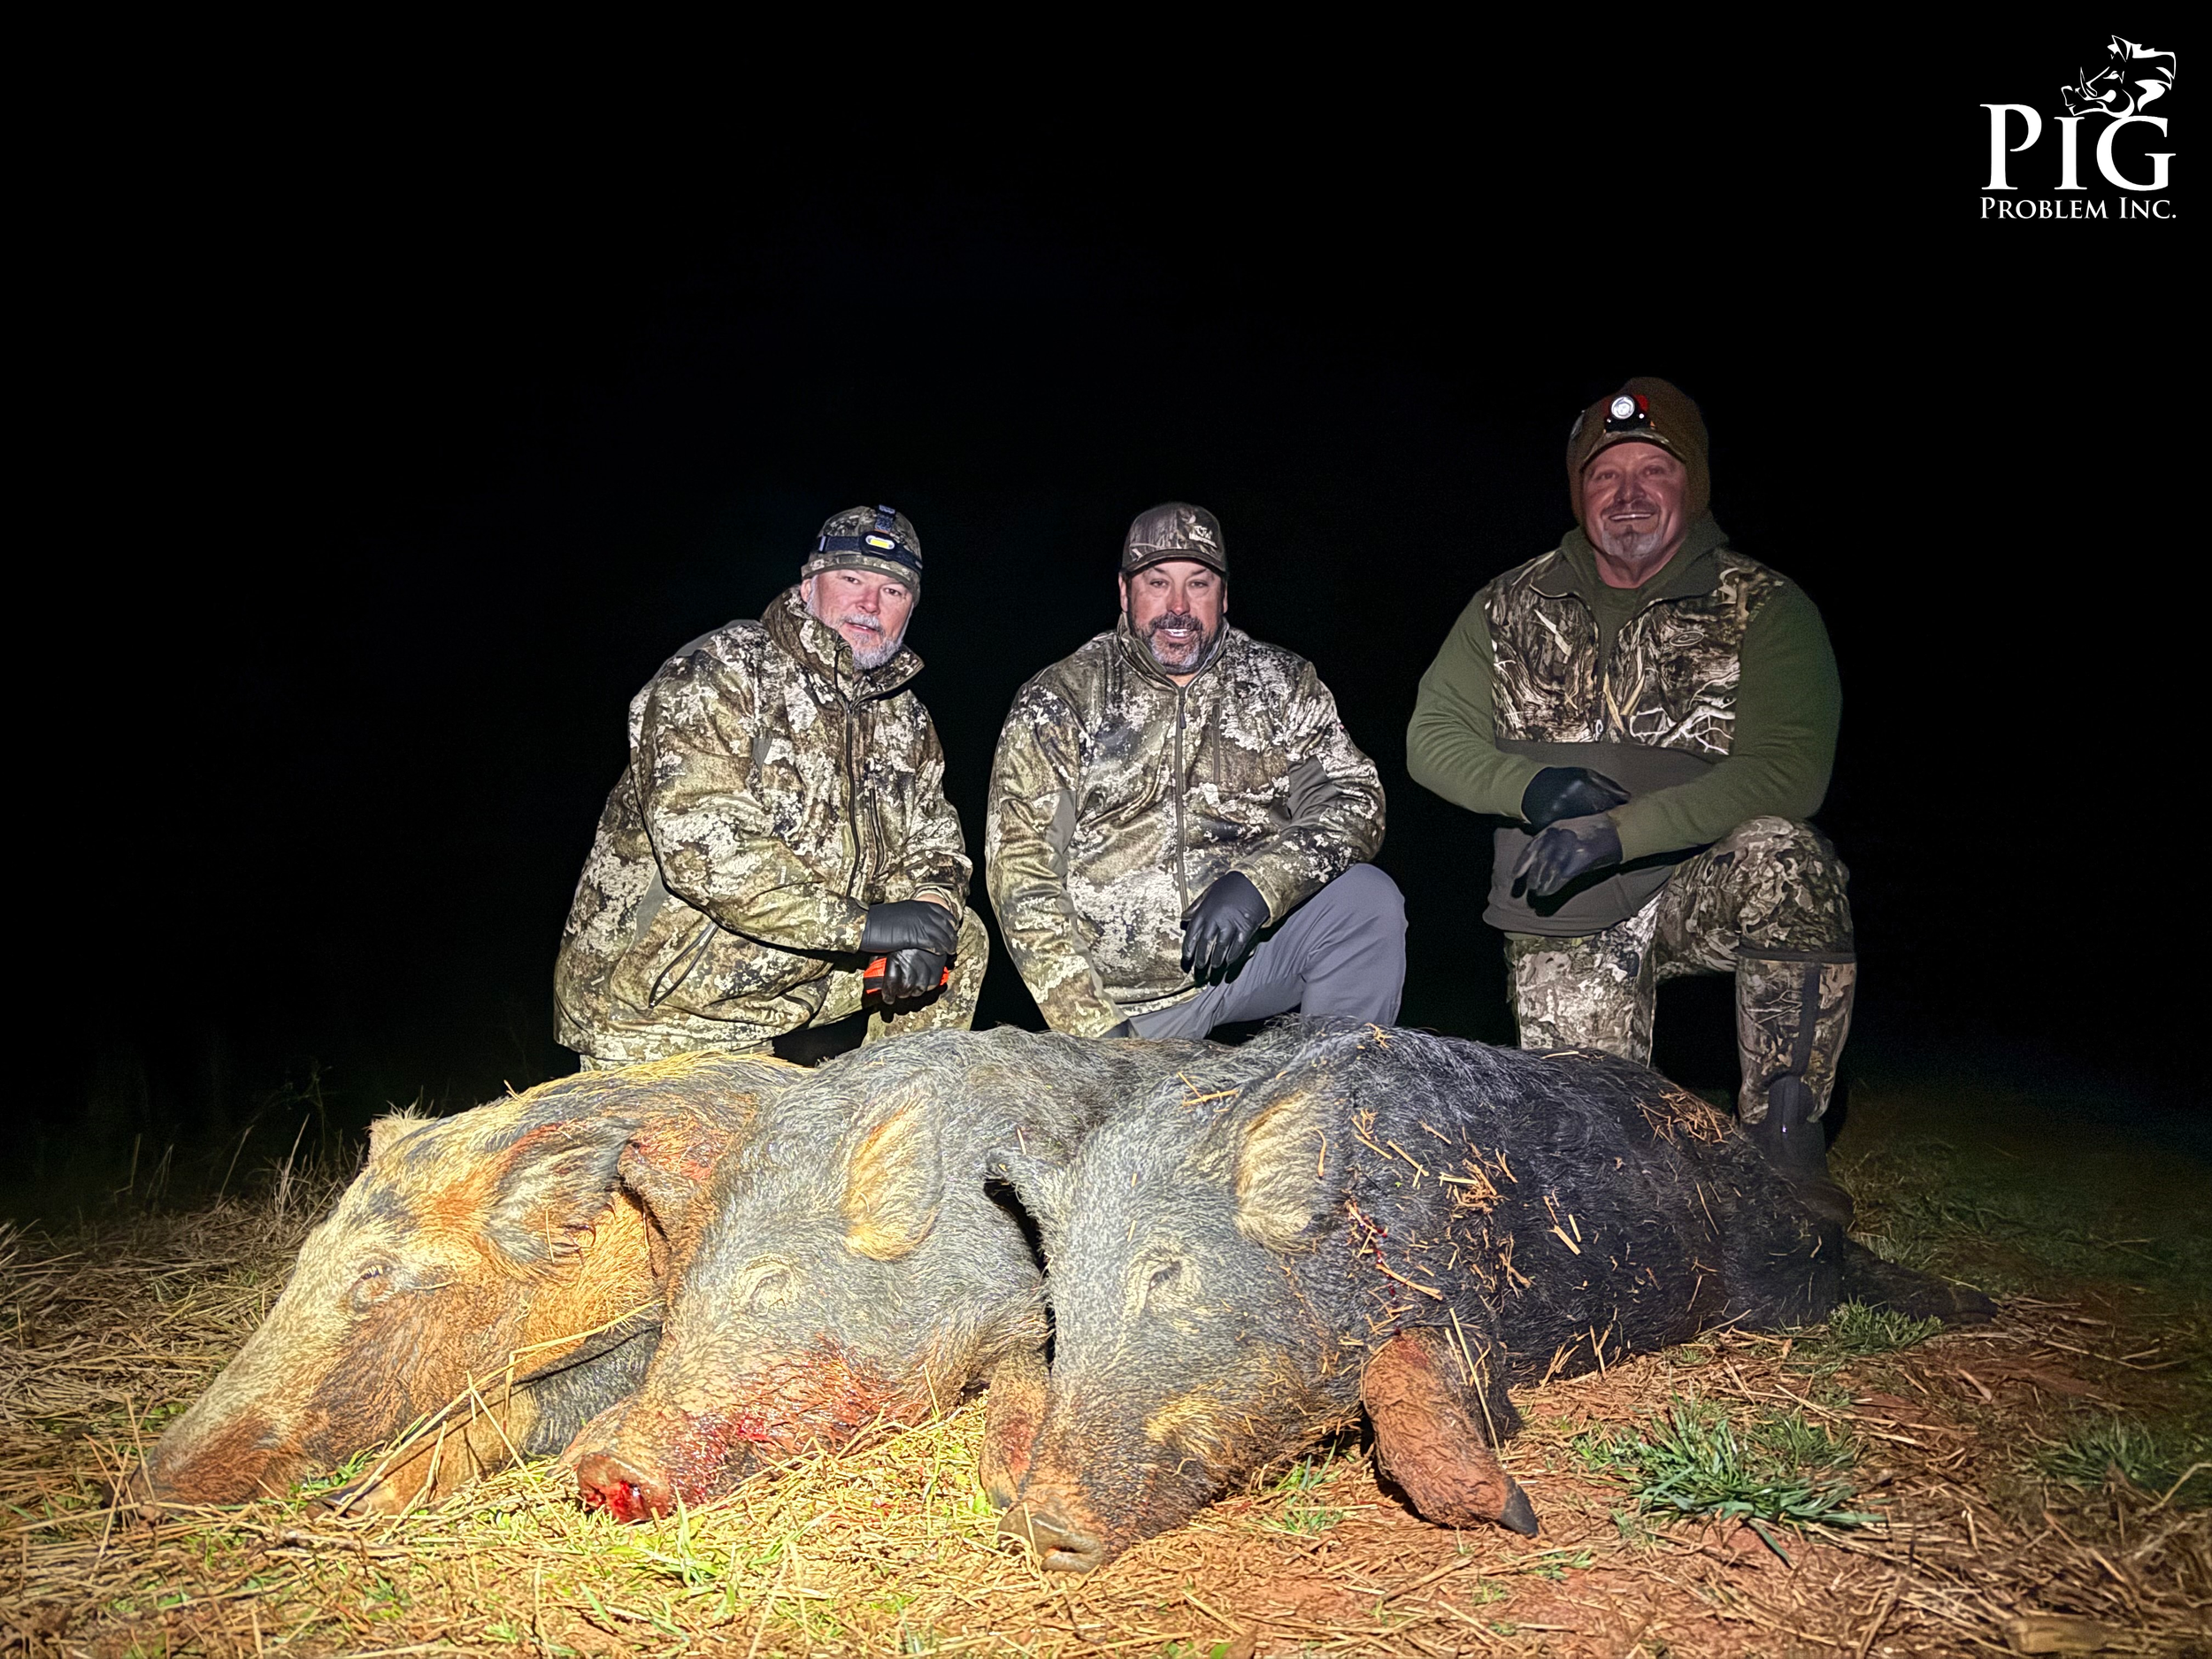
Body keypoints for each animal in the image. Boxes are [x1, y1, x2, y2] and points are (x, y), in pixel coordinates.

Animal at [572, 1027, 1221, 1522]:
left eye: (768, 1284)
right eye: (674, 1304)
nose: (605, 1469)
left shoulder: (1022, 1302)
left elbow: (1026, 1367)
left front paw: (1012, 1485)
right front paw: (577, 1446)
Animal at [990, 1021, 1992, 1571]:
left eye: (1167, 1274)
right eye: (1062, 1305)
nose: (1042, 1523)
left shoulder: (1465, 1303)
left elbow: (1411, 1379)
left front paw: (1516, 1512)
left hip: (1774, 1267)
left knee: (1844, 1265)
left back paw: (1980, 1307)